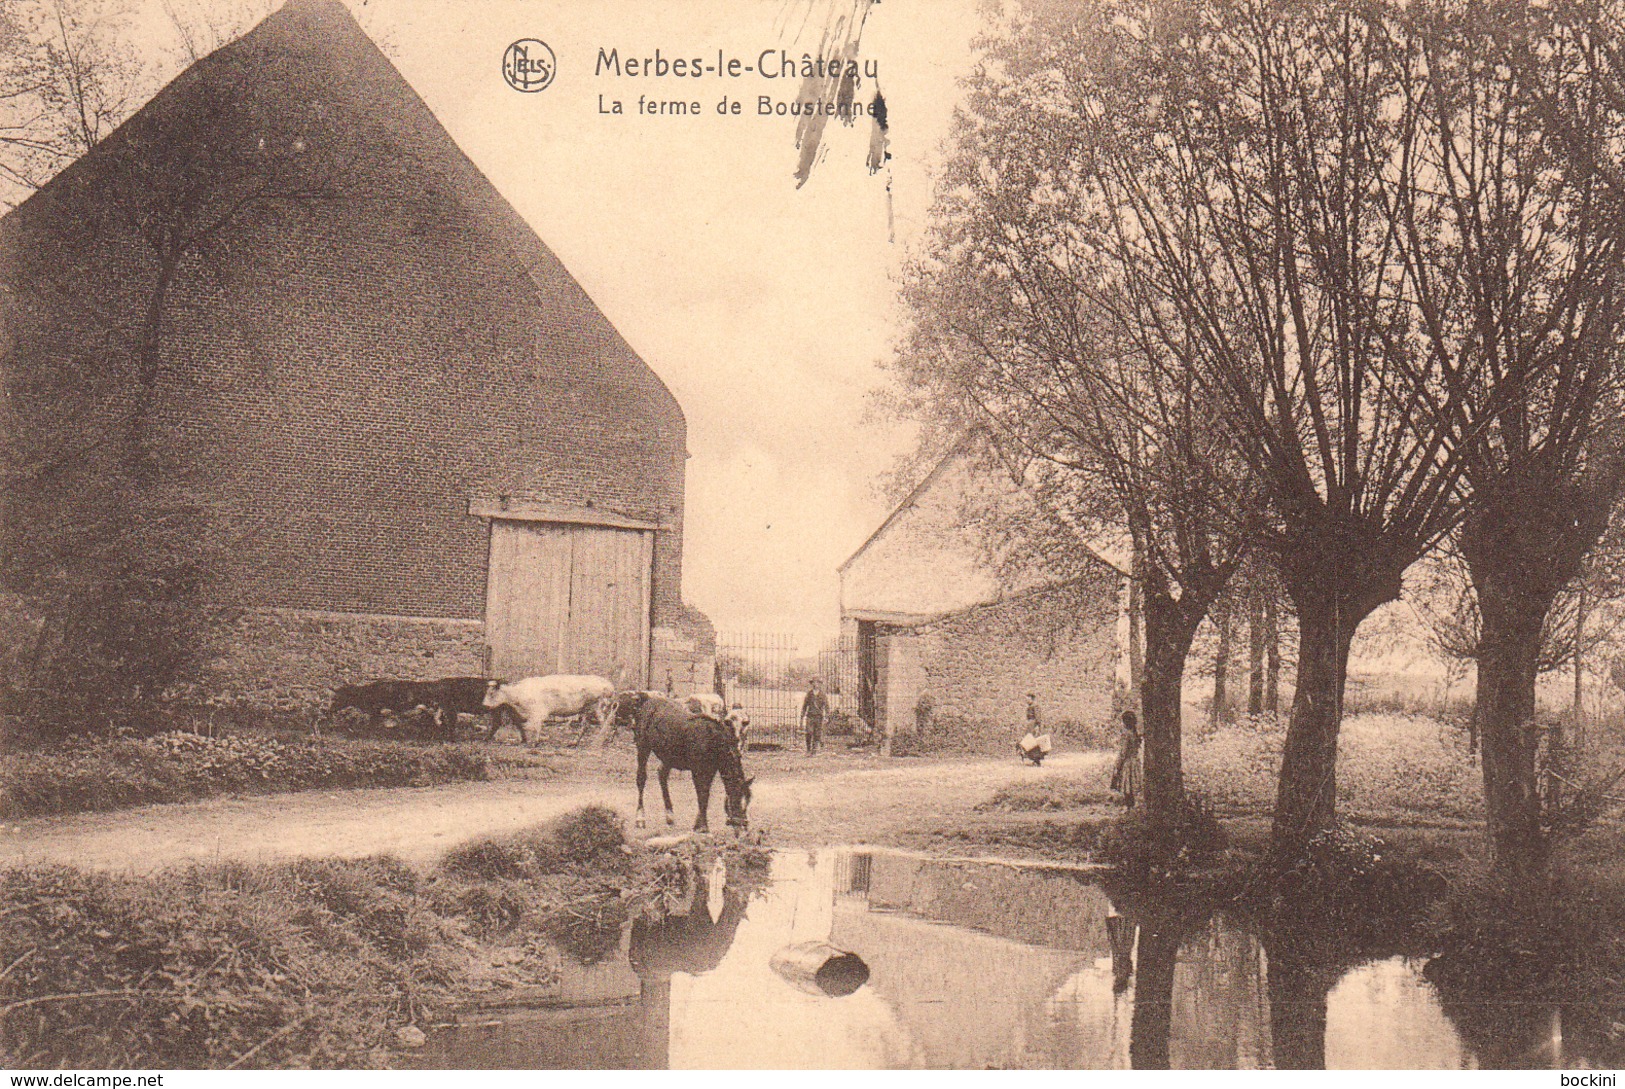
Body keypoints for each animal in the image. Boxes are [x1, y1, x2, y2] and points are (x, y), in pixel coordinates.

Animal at [481, 679, 614, 747]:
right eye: (486, 692)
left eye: (491, 693)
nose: (484, 705)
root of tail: (609, 685)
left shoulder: (538, 712)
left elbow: (535, 727)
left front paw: (534, 743)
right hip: (587, 711)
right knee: (585, 726)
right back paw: (573, 743)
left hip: (599, 708)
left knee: (606, 724)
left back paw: (601, 741)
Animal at [614, 695, 754, 832]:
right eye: (735, 797)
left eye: (748, 800)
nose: (743, 824)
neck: (713, 739)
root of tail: (647, 702)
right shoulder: (697, 770)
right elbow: (702, 794)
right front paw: (703, 826)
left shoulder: (712, 769)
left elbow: (706, 792)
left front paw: (698, 823)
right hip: (643, 746)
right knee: (641, 778)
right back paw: (640, 818)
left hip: (668, 756)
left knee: (662, 774)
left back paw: (670, 815)